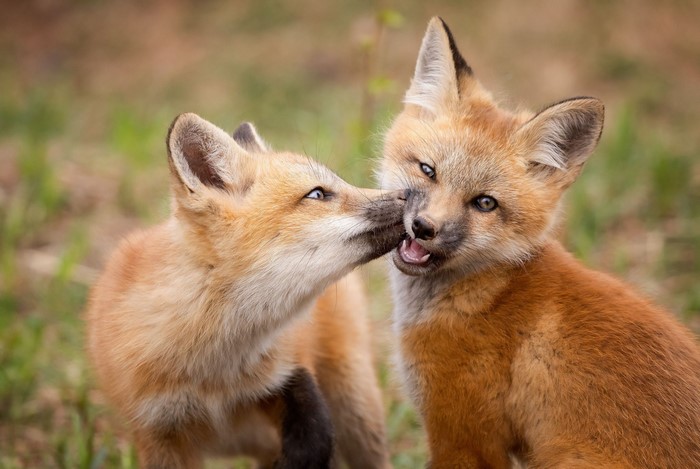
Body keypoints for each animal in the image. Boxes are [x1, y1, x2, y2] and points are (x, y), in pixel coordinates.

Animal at [86, 112, 404, 468]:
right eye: (317, 194)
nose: (409, 195)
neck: (213, 372)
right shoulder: (157, 430)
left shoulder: (288, 374)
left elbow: (315, 438)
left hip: (355, 402)